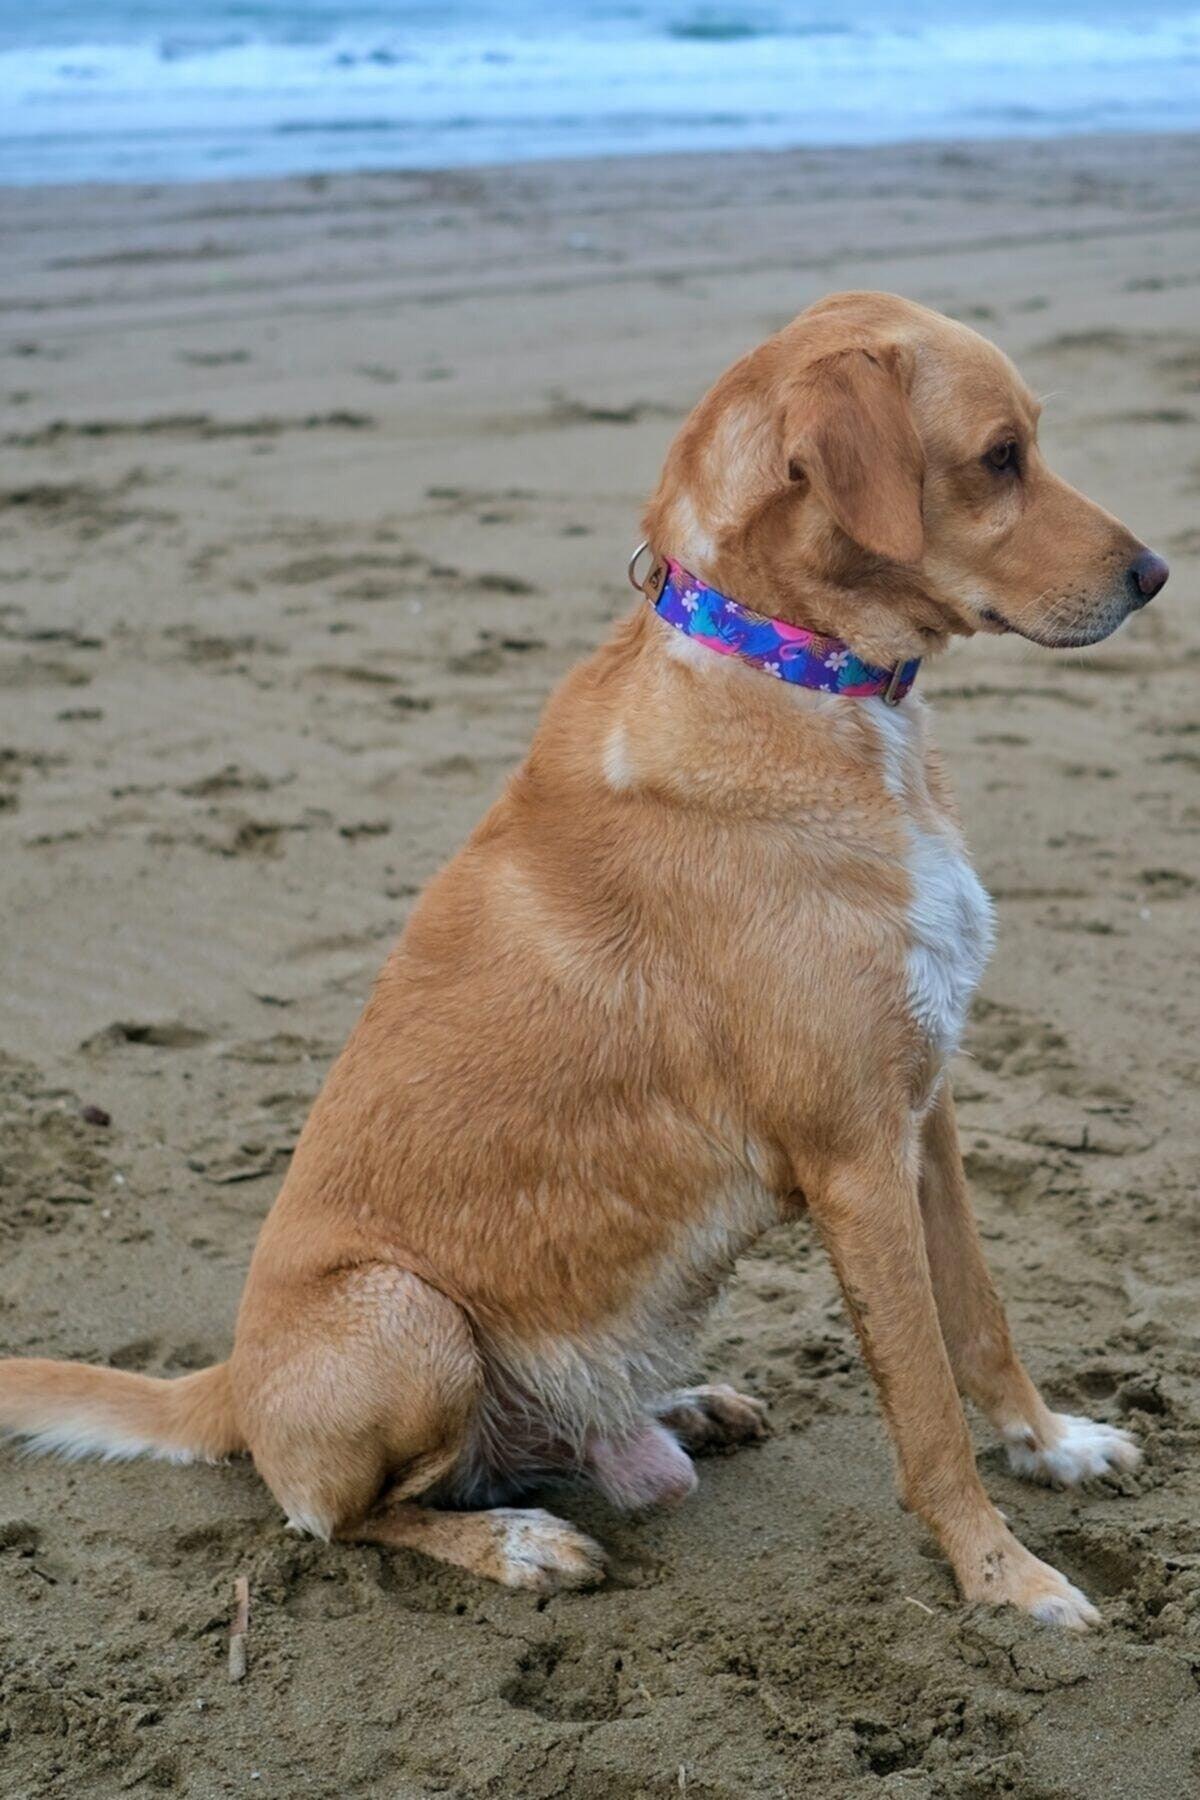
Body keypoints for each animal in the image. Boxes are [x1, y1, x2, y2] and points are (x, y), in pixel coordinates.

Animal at [0, 298, 1165, 1634]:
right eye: (998, 458)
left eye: (1030, 443)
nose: (1156, 576)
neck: (788, 670)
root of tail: (233, 1384)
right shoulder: (855, 1155)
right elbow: (924, 1413)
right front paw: (1000, 1576)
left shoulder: (925, 1116)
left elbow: (981, 1320)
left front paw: (1052, 1445)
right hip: (405, 1320)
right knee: (350, 1518)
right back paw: (516, 1540)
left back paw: (680, 1409)